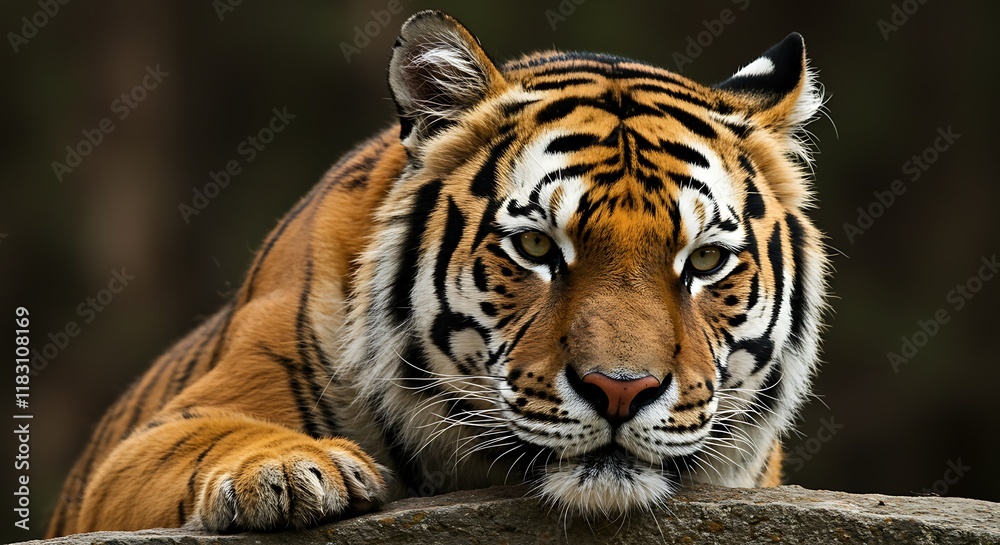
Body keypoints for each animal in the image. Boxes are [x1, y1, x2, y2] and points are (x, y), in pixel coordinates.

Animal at [48, 10, 828, 536]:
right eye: (537, 247)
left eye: (704, 261)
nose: (620, 390)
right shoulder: (137, 448)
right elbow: (210, 435)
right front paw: (286, 472)